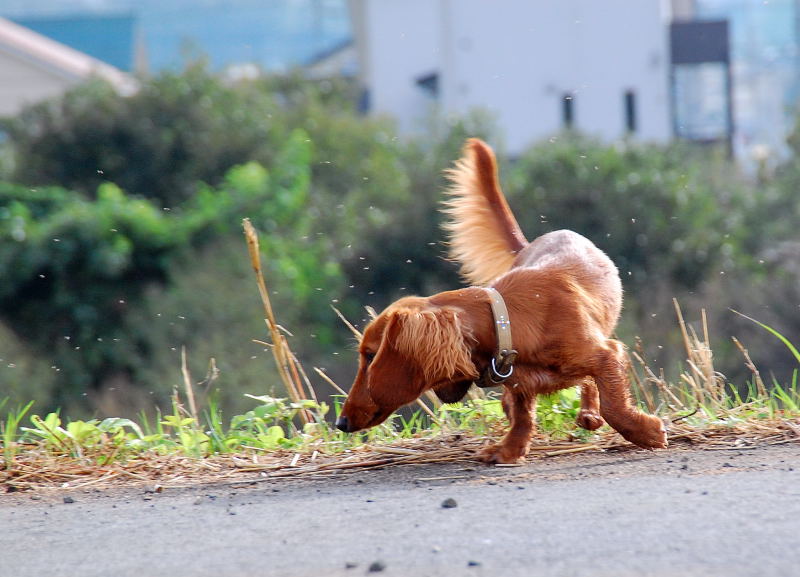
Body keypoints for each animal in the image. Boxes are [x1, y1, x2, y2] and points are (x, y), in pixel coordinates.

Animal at [338, 137, 668, 462]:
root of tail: (531, 242)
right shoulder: (519, 382)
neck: (506, 320)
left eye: (371, 356)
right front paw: (510, 449)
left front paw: (646, 432)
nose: (341, 422)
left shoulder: (606, 353)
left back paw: (591, 412)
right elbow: (522, 414)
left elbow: (613, 404)